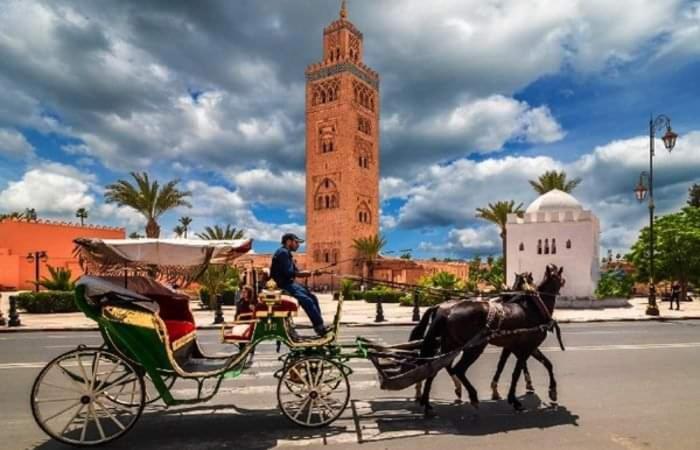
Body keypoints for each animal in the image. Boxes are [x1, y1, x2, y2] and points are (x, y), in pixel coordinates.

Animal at [418, 264, 568, 414]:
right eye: (560, 276)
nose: (564, 281)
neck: (535, 308)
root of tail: (447, 311)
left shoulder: (519, 347)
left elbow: (544, 364)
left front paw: (551, 391)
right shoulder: (527, 348)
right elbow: (517, 372)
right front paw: (515, 399)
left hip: (450, 344)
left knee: (436, 368)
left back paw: (427, 403)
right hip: (474, 347)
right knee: (458, 369)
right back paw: (472, 397)